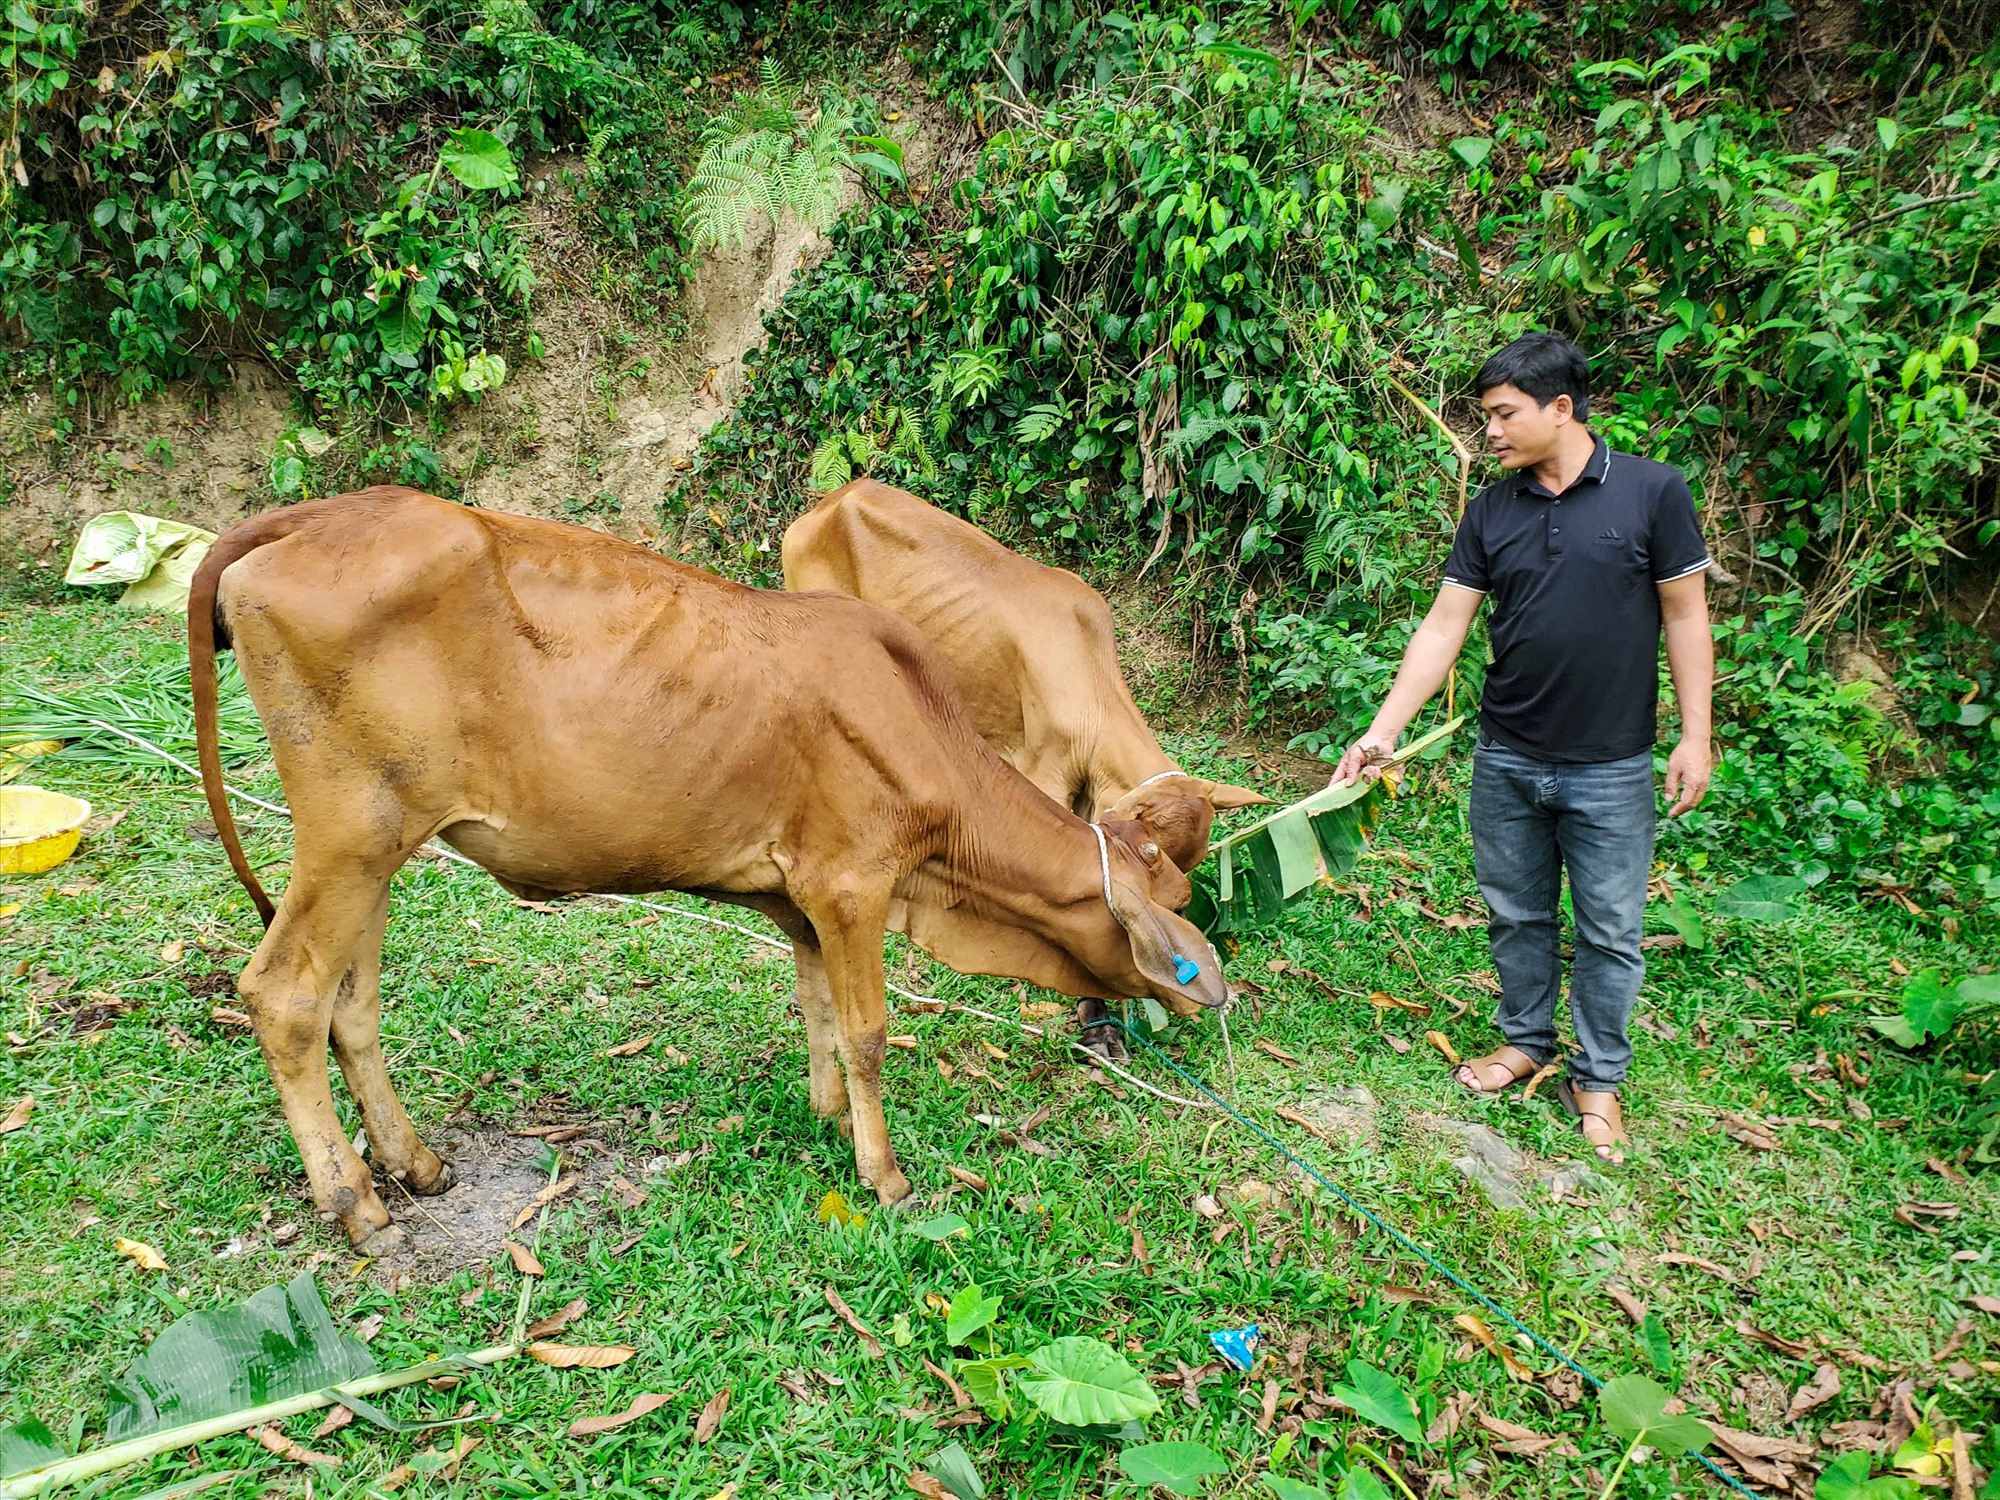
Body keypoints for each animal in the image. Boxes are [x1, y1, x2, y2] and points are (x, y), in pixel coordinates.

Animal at [191, 488, 1216, 1248]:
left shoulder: (799, 897)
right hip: (349, 837)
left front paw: (827, 1115)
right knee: (285, 996)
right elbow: (868, 1031)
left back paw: (414, 1163)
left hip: (380, 848)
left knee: (351, 1003)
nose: (1216, 994)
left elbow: (816, 1006)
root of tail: (314, 516)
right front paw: (883, 1174)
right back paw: (352, 1200)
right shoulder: (852, 884)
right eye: (1174, 909)